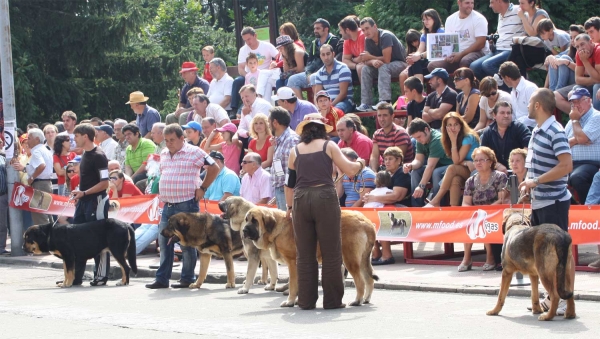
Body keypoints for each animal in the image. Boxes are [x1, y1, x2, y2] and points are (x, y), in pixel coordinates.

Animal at [241, 207, 378, 308]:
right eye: (246, 219)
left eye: (254, 220)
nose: (244, 231)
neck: (278, 228)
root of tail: (366, 222)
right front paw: (297, 301)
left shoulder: (293, 263)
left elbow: (293, 284)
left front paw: (290, 301)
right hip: (363, 260)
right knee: (369, 279)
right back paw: (366, 299)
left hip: (350, 260)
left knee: (360, 281)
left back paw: (357, 300)